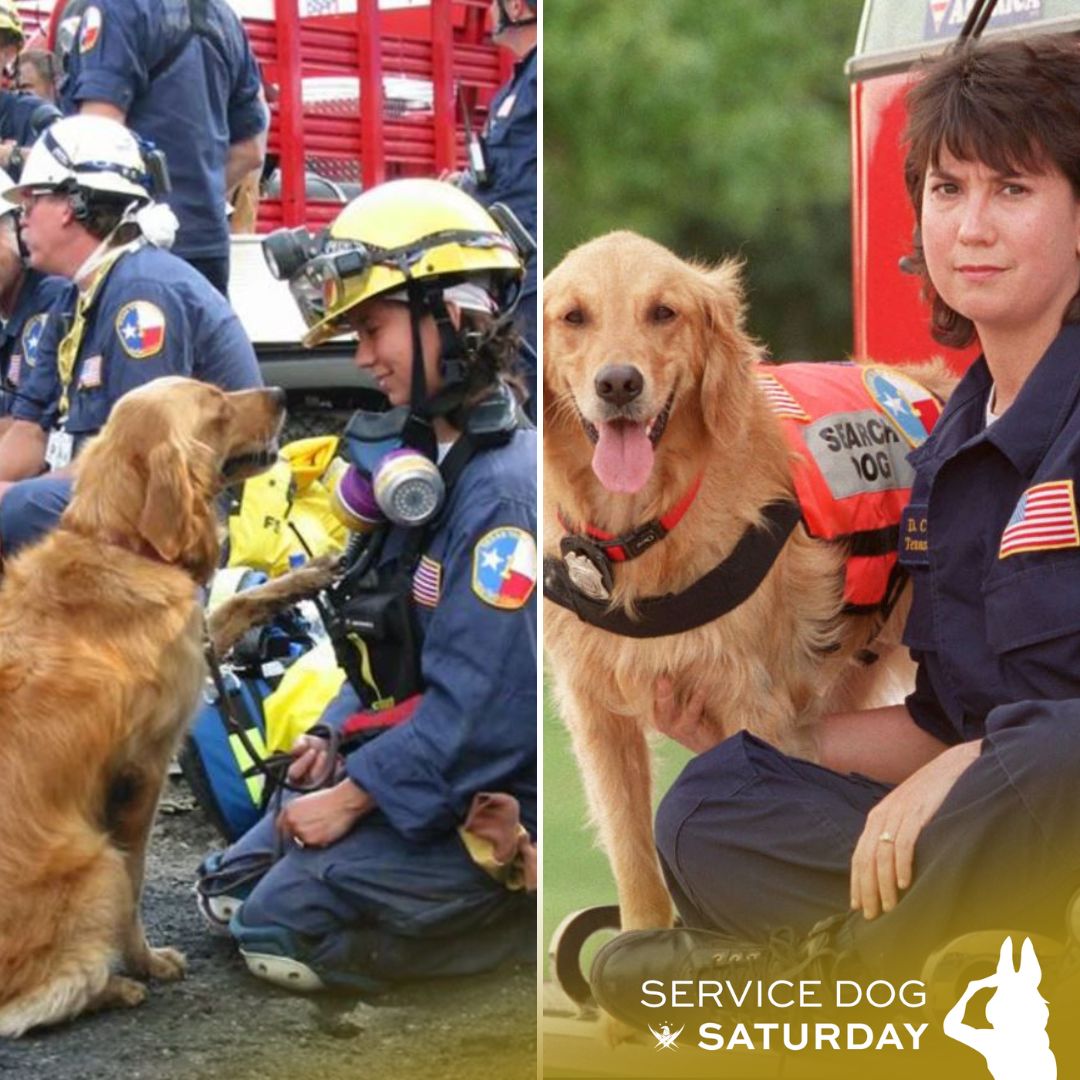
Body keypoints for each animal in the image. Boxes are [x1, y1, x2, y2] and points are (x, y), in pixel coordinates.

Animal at [0, 375, 287, 1032]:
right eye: (217, 407)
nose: (284, 393)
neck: (122, 545)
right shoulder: (143, 772)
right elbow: (135, 884)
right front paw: (146, 962)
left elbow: (233, 606)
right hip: (96, 863)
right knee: (38, 999)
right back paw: (114, 987)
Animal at [544, 232, 950, 941]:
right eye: (573, 317)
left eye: (663, 312)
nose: (618, 383)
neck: (645, 529)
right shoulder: (596, 714)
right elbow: (636, 871)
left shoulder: (750, 704)